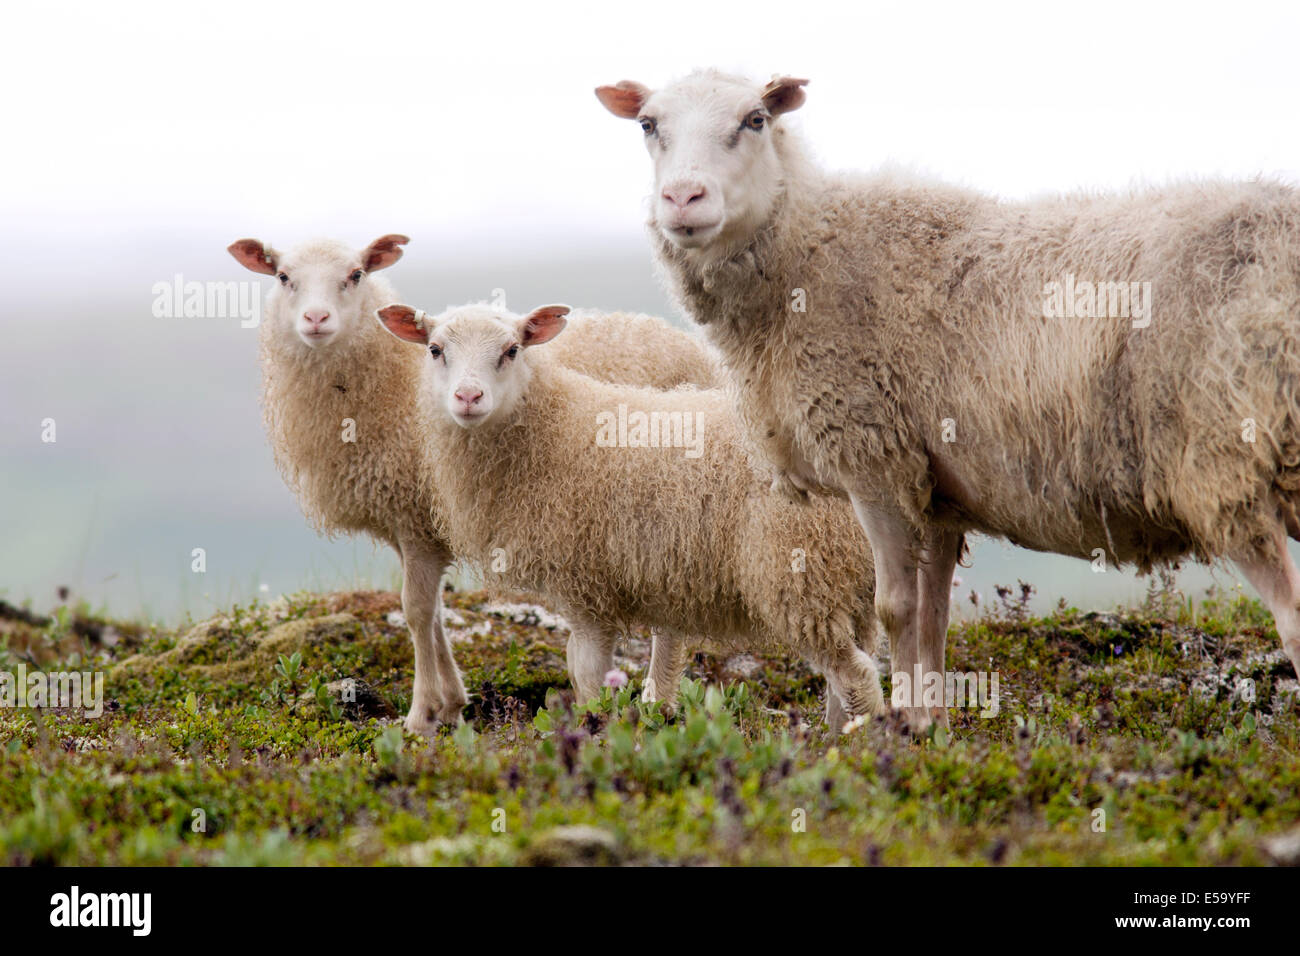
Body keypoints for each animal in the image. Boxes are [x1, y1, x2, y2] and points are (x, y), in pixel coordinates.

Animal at [231, 235, 722, 738]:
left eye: (355, 275)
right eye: (283, 277)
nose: (316, 320)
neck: (391, 387)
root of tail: (684, 341)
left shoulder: (419, 525)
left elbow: (416, 610)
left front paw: (421, 714)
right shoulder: (414, 525)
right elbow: (432, 614)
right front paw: (451, 702)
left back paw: (658, 700)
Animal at [595, 70, 1300, 728]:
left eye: (755, 119)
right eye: (648, 125)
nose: (682, 197)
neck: (806, 256)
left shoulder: (873, 460)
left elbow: (895, 608)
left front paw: (896, 727)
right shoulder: (935, 486)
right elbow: (932, 615)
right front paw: (926, 725)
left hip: (1221, 460)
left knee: (1289, 616)